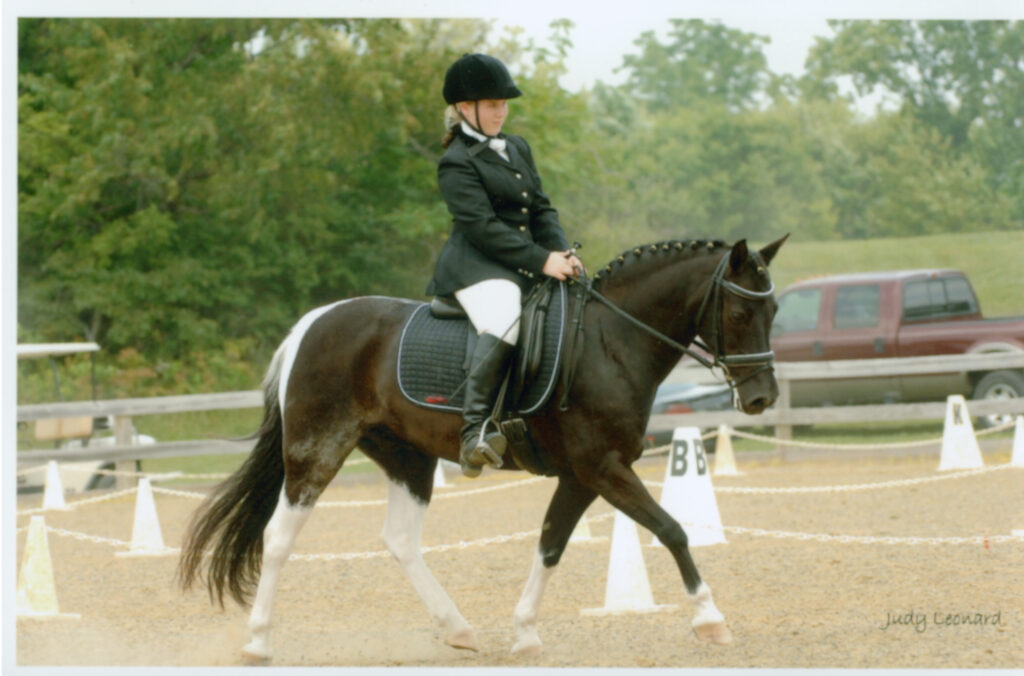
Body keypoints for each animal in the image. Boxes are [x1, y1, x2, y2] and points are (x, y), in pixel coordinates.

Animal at [178, 235, 788, 664]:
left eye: (775, 312)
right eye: (739, 313)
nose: (762, 398)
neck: (610, 341)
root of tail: (312, 322)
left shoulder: (581, 476)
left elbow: (550, 546)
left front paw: (524, 634)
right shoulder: (603, 468)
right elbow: (672, 530)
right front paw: (710, 620)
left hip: (407, 456)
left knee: (400, 540)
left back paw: (457, 629)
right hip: (317, 448)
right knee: (279, 538)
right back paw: (258, 643)